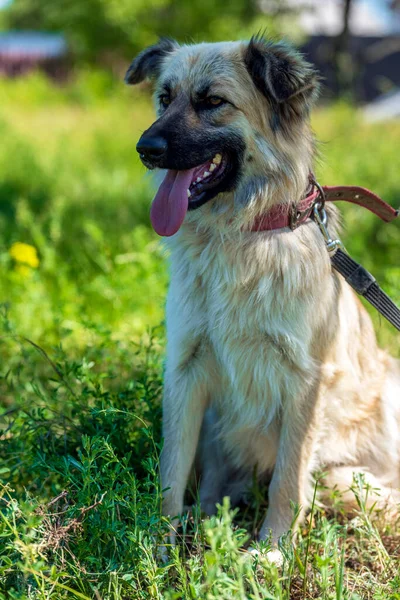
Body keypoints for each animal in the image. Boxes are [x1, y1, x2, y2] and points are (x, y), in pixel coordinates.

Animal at [126, 35, 400, 560]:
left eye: (213, 102)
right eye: (165, 98)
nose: (144, 149)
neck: (243, 234)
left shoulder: (305, 381)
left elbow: (288, 480)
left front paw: (274, 550)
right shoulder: (186, 368)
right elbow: (172, 467)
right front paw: (157, 544)